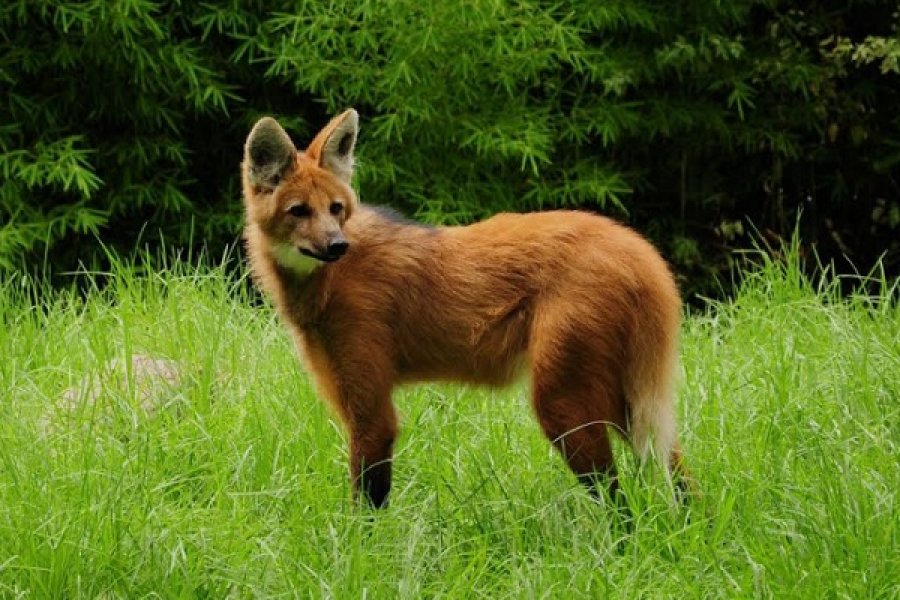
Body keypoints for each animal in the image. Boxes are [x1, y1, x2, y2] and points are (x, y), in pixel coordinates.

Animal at [239, 108, 688, 506]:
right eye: (299, 211)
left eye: (335, 208)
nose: (336, 245)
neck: (327, 282)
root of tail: (639, 249)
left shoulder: (370, 409)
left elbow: (366, 504)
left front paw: (362, 549)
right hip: (619, 393)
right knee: (676, 469)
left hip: (564, 402)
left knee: (618, 499)